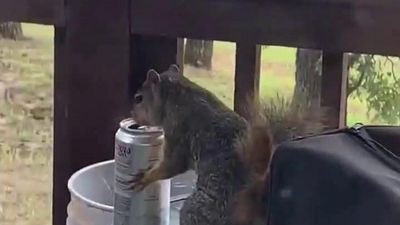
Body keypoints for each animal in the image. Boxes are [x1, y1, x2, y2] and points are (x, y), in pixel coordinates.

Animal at [128, 63, 324, 225]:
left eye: (139, 98)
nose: (133, 120)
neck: (179, 96)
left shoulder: (178, 133)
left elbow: (171, 165)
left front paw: (145, 177)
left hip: (200, 210)